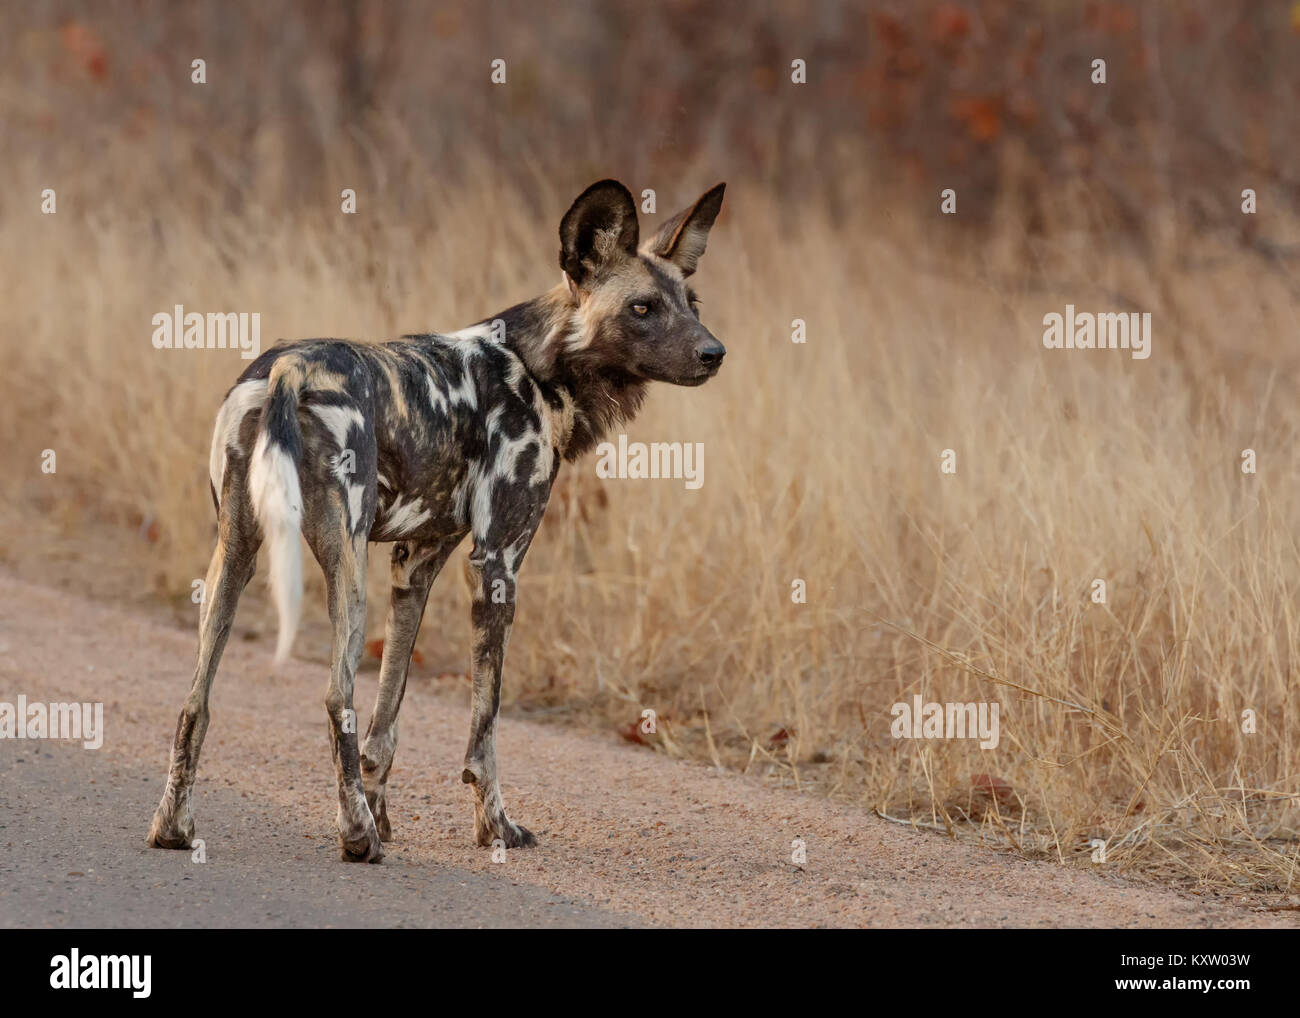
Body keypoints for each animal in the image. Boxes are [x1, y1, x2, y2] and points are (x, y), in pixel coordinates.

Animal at [149, 180, 733, 858]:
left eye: (691, 302)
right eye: (642, 308)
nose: (714, 353)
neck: (538, 367)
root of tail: (289, 369)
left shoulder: (416, 565)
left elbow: (387, 717)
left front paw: (383, 813)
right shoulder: (497, 564)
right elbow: (485, 729)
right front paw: (493, 827)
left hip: (235, 557)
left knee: (196, 702)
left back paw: (176, 828)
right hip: (346, 568)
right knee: (336, 695)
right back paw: (356, 838)